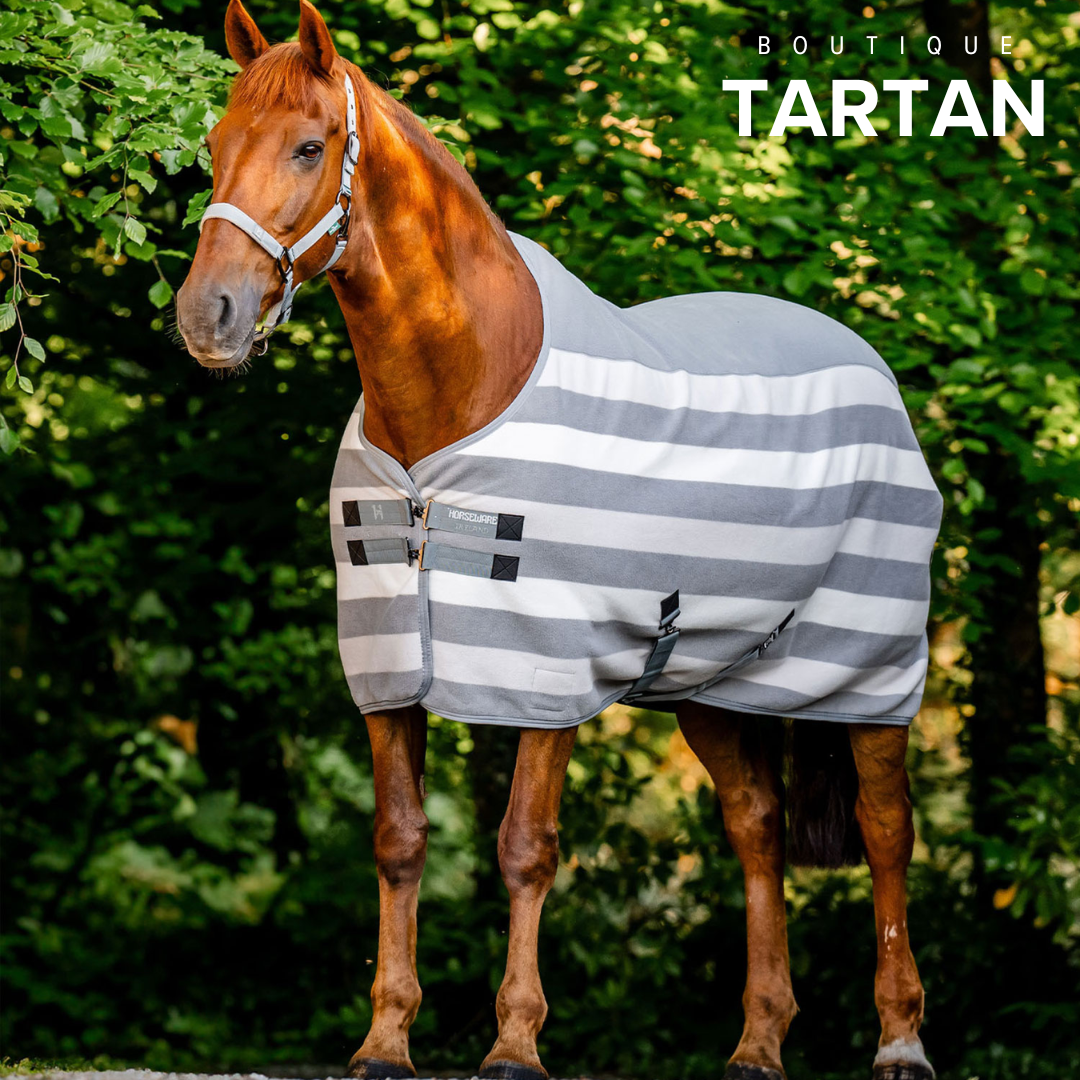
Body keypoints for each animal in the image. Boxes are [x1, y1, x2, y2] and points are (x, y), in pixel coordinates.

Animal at [176, 4, 940, 1079]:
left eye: (309, 147)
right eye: (214, 146)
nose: (208, 317)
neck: (459, 397)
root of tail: (867, 361)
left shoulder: (548, 669)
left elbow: (524, 846)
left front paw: (514, 1044)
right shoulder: (387, 667)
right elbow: (400, 841)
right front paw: (385, 1040)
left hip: (870, 662)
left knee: (885, 830)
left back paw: (901, 1039)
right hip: (710, 679)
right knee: (757, 828)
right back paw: (756, 1042)